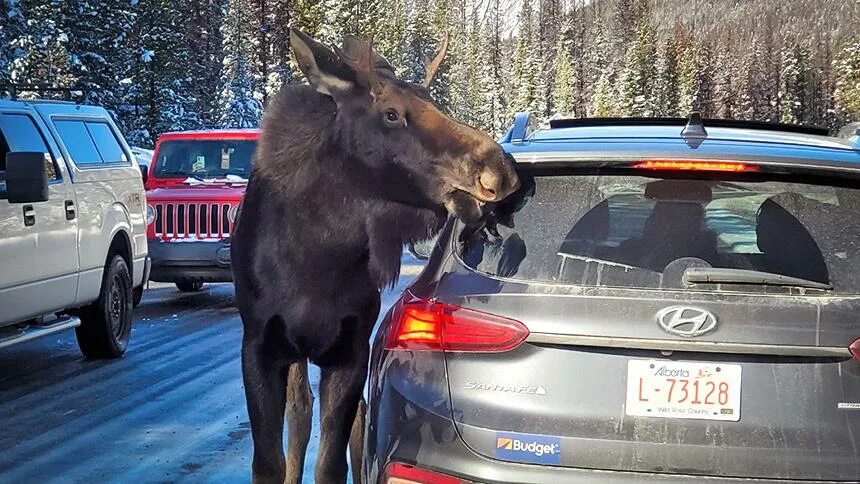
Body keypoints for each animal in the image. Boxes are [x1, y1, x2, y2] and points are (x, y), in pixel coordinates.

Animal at [228, 30, 520, 484]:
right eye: (391, 114)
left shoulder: (351, 351)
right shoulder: (260, 346)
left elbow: (331, 463)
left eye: (434, 101)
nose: (498, 169)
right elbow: (268, 463)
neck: (317, 260)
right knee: (301, 411)